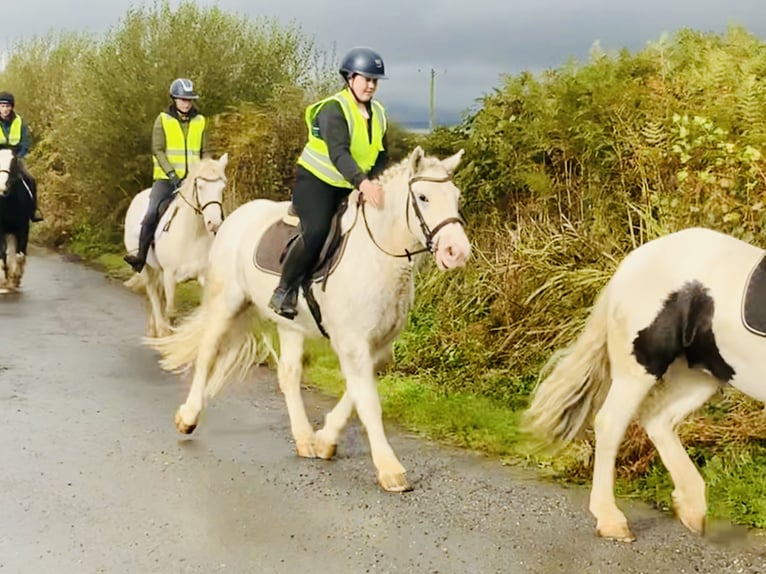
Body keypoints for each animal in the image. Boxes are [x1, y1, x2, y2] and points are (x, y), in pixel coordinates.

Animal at [123, 155, 228, 340]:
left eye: (222, 188)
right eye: (200, 186)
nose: (214, 224)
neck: (192, 235)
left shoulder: (203, 276)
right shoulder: (170, 276)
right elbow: (171, 311)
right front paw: (167, 336)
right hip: (147, 268)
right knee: (153, 294)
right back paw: (158, 329)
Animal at [143, 146, 468, 492]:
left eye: (456, 196)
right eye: (423, 197)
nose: (457, 252)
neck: (377, 257)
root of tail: (234, 218)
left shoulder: (378, 347)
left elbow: (356, 393)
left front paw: (325, 440)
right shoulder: (353, 344)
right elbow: (368, 402)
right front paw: (390, 469)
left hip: (290, 325)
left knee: (288, 374)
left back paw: (304, 438)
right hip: (225, 303)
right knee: (207, 354)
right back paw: (188, 417)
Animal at [528, 226, 766, 544]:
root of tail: (632, 261)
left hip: (700, 376)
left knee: (659, 420)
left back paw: (691, 508)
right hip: (639, 370)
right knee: (611, 423)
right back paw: (612, 521)